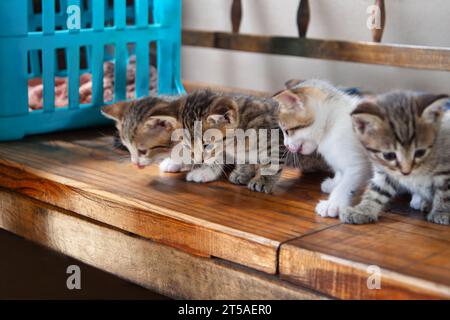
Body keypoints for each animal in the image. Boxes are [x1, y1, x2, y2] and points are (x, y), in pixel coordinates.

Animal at [274, 79, 372, 218]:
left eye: (287, 131)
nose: (286, 145)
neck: (330, 123)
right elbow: (340, 171)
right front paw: (335, 182)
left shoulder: (358, 164)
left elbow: (346, 184)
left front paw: (333, 203)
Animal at [342, 90, 450, 225]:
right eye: (389, 155)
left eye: (420, 152)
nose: (406, 172)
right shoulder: (386, 171)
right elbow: (377, 191)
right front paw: (362, 210)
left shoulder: (445, 169)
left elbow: (445, 192)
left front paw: (442, 211)